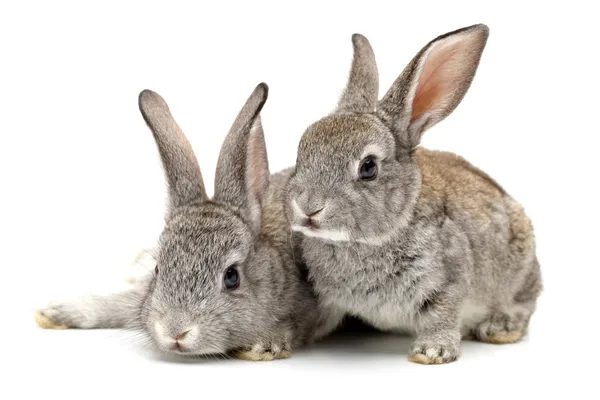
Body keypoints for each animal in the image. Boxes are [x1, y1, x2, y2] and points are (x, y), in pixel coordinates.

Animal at [286, 23, 544, 364]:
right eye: (301, 152)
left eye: (368, 167)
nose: (308, 207)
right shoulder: (327, 298)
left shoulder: (449, 279)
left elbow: (442, 313)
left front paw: (432, 352)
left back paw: (500, 327)